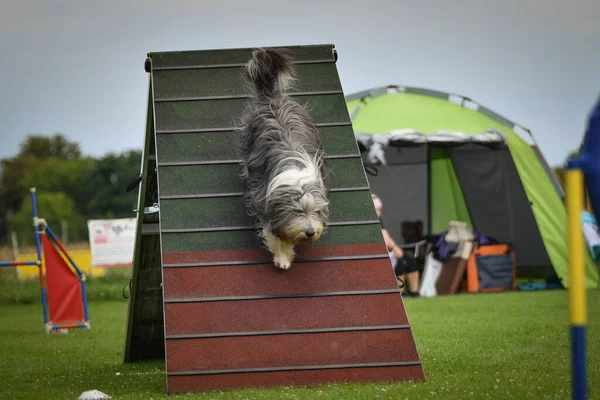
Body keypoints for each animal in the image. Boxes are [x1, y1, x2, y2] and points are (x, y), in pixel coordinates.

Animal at [126, 43, 426, 394]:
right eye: (298, 213)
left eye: (315, 213)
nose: (310, 232)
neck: (296, 179)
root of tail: (273, 98)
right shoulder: (261, 198)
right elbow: (271, 232)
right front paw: (283, 256)